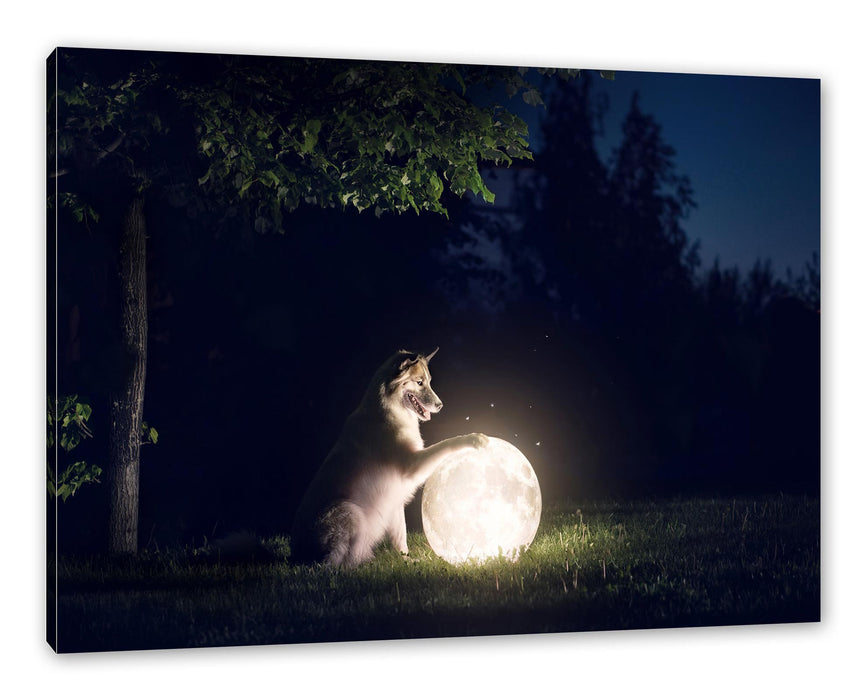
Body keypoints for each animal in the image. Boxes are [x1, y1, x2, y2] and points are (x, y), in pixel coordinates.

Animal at [290, 348, 486, 568]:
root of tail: (295, 555)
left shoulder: (395, 499)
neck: (388, 411)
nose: (440, 405)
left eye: (428, 382)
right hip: (349, 511)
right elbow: (444, 444)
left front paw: (406, 559)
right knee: (333, 564)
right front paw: (472, 438)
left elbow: (400, 536)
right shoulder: (412, 465)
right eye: (419, 382)